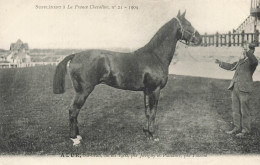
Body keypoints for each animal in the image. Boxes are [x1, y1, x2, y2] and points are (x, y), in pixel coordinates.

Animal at [53, 10, 202, 145]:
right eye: (188, 24)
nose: (200, 39)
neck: (155, 56)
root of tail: (75, 55)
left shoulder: (147, 90)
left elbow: (147, 111)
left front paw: (146, 133)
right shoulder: (155, 89)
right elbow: (153, 112)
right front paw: (153, 135)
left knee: (75, 111)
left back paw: (78, 136)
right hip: (83, 91)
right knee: (73, 110)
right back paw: (74, 139)